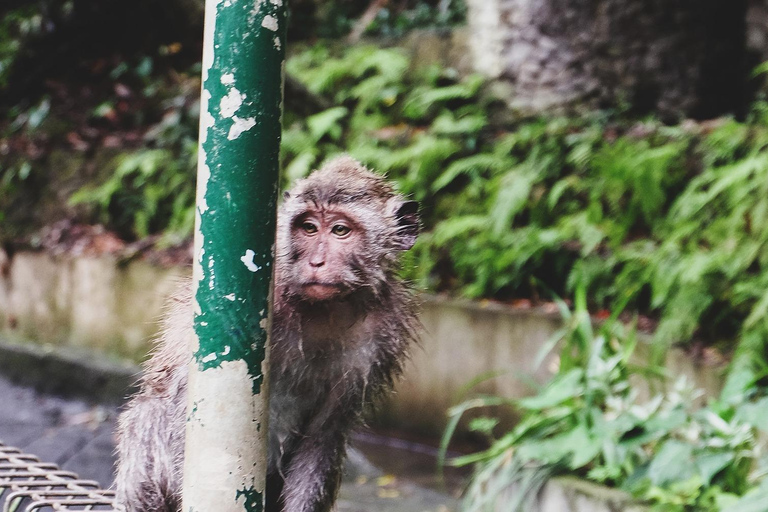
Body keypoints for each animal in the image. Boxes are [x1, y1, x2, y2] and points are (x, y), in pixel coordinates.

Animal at [114, 156, 420, 512]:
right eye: (309, 227)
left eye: (340, 230)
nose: (316, 262)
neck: (323, 311)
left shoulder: (379, 338)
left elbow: (324, 434)